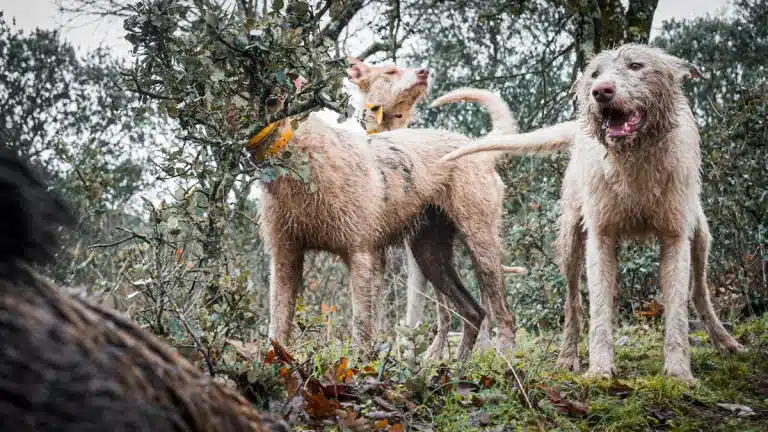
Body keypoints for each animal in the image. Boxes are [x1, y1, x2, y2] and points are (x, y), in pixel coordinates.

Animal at [438, 44, 744, 382]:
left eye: (636, 66)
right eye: (595, 74)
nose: (600, 91)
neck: (634, 157)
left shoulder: (675, 237)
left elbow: (676, 309)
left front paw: (678, 373)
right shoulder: (600, 237)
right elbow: (596, 308)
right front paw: (599, 369)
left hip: (700, 236)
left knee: (699, 290)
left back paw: (725, 340)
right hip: (571, 242)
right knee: (573, 303)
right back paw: (567, 357)